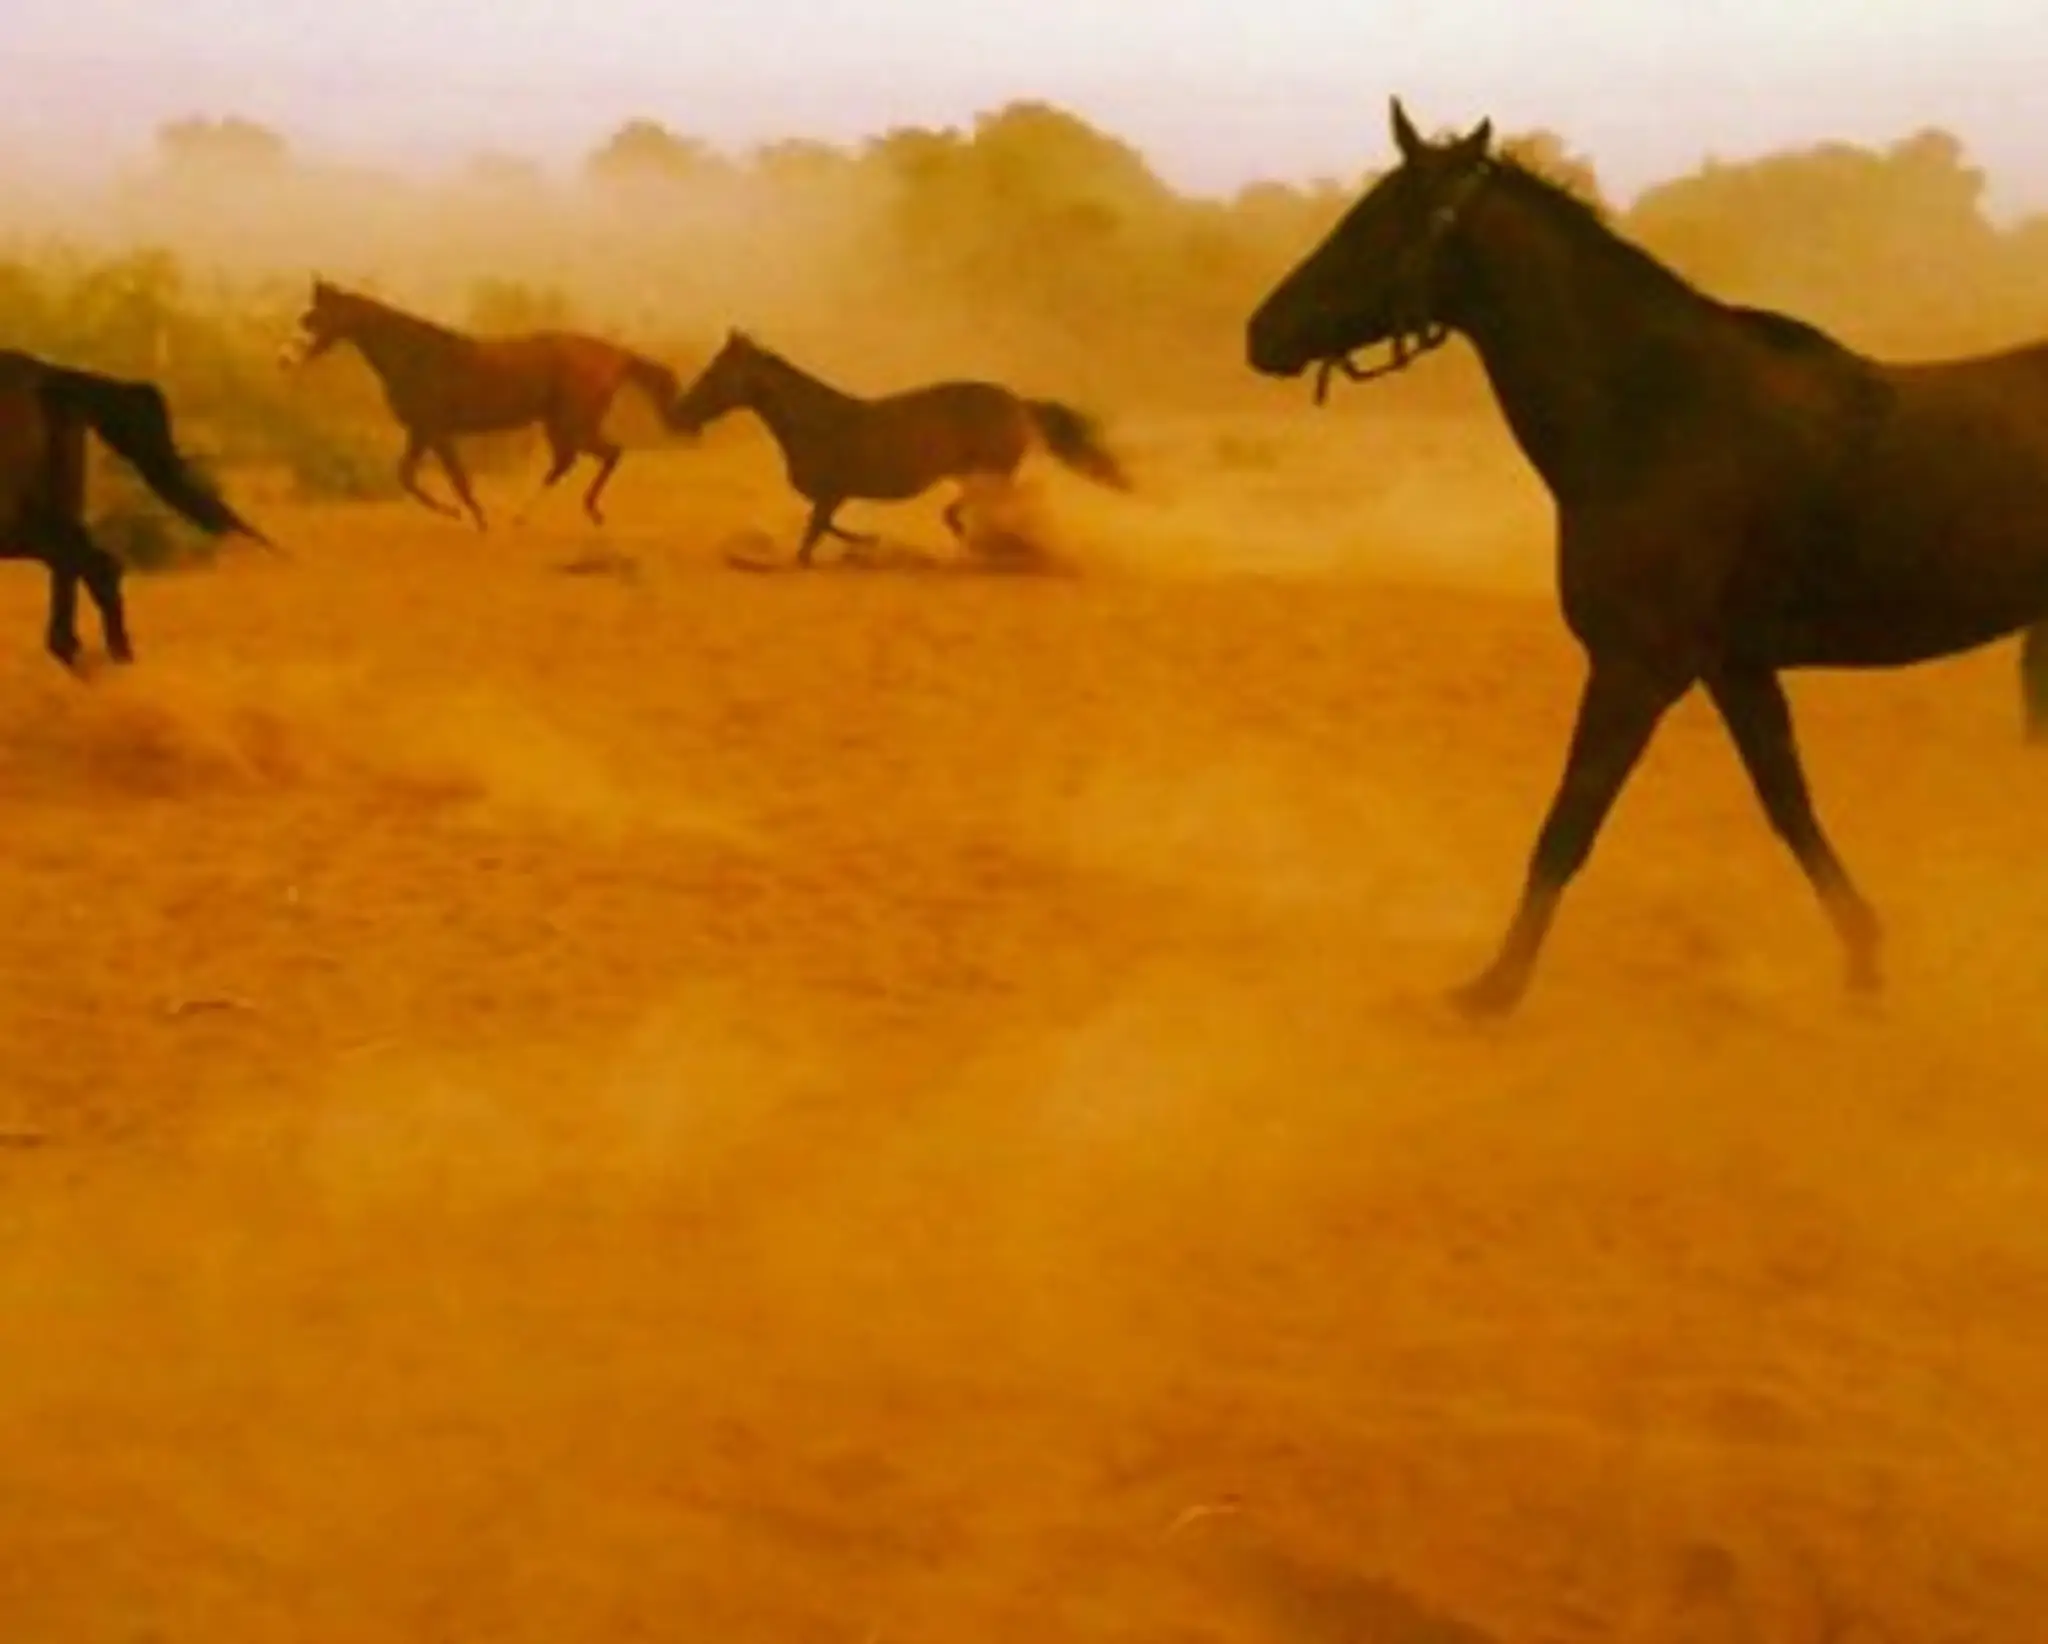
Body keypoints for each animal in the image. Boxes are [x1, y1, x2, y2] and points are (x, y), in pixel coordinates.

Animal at [1, 349, 274, 672]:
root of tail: (52, 375)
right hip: (47, 514)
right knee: (81, 569)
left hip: (24, 522)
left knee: (94, 566)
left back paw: (105, 662)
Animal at [278, 279, 691, 530]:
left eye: (313, 320)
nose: (284, 359)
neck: (418, 357)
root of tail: (616, 355)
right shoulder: (421, 432)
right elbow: (407, 476)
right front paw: (460, 513)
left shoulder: (436, 431)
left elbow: (455, 479)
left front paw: (471, 517)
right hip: (563, 425)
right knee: (577, 460)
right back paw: (531, 516)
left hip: (572, 423)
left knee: (601, 455)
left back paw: (548, 513)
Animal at [667, 329, 1132, 566]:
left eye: (715, 374)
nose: (681, 413)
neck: (817, 422)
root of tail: (1018, 402)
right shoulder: (831, 497)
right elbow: (821, 529)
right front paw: (865, 545)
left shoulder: (832, 493)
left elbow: (813, 535)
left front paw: (863, 545)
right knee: (971, 511)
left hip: (991, 471)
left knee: (977, 510)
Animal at [1247, 97, 2048, 1018]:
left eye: (1376, 223)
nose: (1262, 331)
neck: (1655, 414)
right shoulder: (1732, 665)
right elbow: (1789, 805)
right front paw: (1864, 955)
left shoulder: (1637, 666)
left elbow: (1567, 826)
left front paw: (1494, 989)